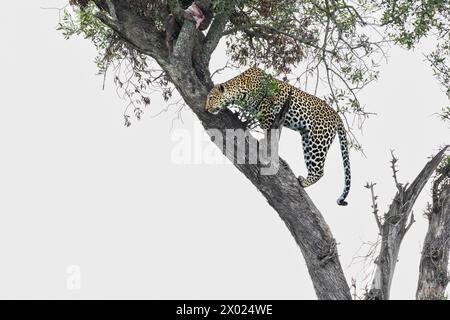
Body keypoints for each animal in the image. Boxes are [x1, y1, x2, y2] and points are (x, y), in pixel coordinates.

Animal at [205, 66, 352, 206]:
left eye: (211, 98)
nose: (206, 109)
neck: (240, 91)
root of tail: (337, 115)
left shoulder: (267, 111)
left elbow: (270, 134)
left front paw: (266, 148)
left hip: (319, 140)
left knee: (320, 170)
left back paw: (304, 182)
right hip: (307, 141)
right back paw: (304, 180)